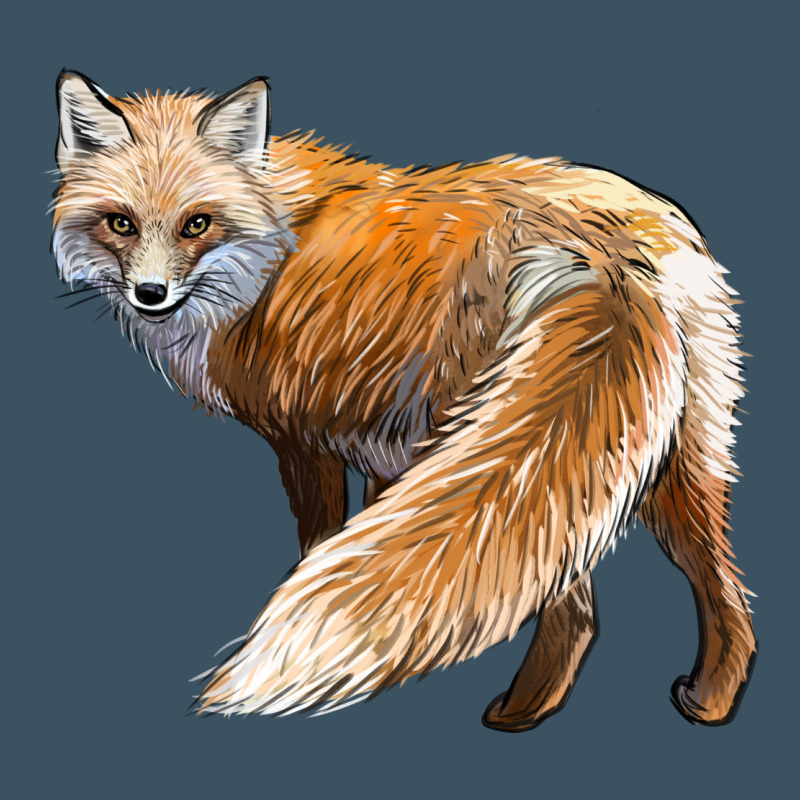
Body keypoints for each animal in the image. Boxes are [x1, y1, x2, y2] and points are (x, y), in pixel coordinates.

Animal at [52, 70, 757, 730]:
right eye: (121, 223)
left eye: (196, 223)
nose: (150, 294)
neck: (271, 247)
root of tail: (603, 254)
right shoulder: (381, 447)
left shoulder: (303, 439)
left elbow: (321, 546)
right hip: (665, 456)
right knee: (717, 588)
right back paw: (708, 701)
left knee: (573, 605)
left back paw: (517, 714)